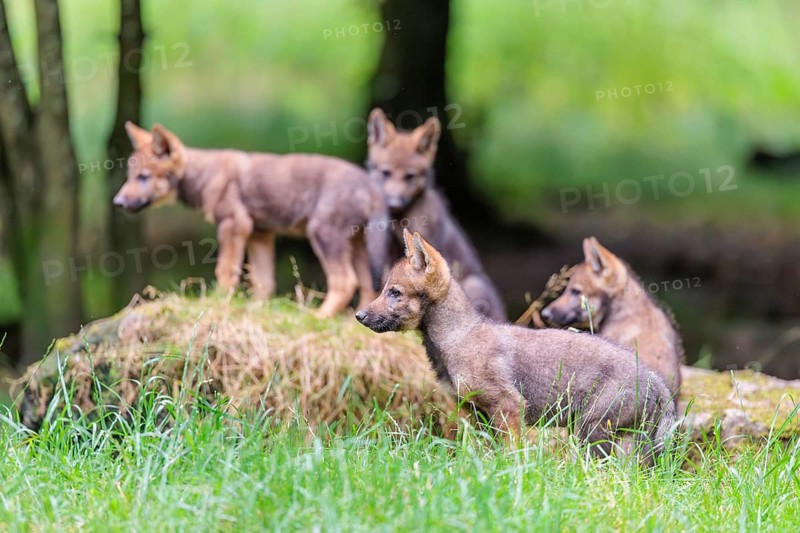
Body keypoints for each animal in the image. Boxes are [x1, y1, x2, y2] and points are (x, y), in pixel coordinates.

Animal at [113, 122, 389, 317]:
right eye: (130, 176)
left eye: (144, 177)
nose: (117, 202)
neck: (205, 175)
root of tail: (370, 184)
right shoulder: (259, 234)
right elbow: (263, 281)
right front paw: (256, 309)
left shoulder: (234, 226)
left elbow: (225, 271)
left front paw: (217, 302)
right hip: (357, 244)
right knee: (368, 285)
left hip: (324, 235)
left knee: (345, 282)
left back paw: (318, 317)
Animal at [365, 108, 505, 321]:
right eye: (386, 172)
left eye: (410, 176)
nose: (394, 203)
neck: (400, 220)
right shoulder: (389, 254)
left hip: (474, 284)